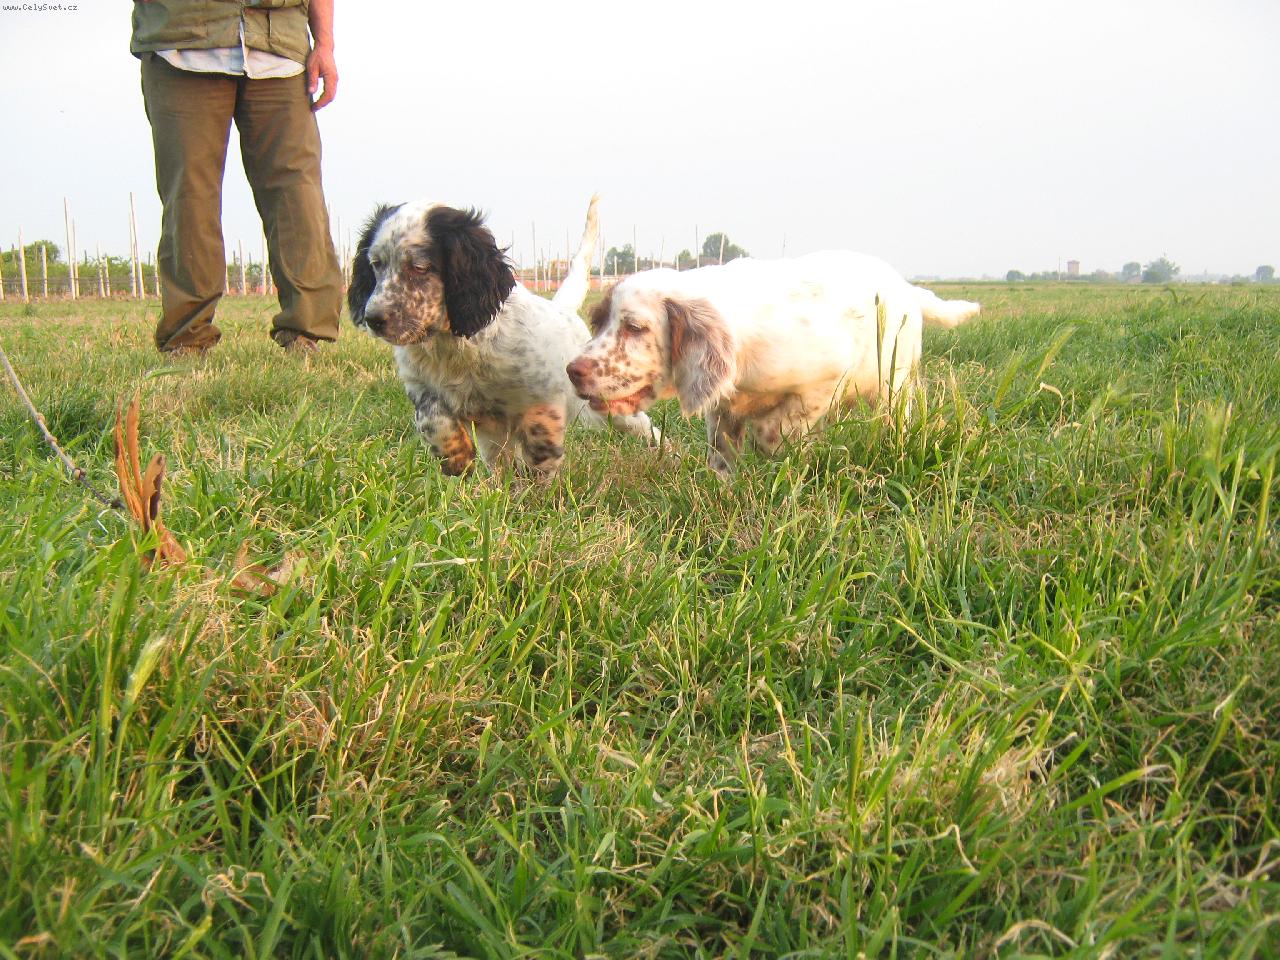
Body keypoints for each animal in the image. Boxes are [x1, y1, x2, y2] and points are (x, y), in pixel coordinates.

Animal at [347, 195, 658, 476]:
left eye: (419, 267)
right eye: (376, 264)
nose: (373, 319)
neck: (454, 341)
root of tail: (563, 309)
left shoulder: (542, 394)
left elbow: (540, 433)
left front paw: (537, 481)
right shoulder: (421, 385)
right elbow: (431, 418)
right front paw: (456, 457)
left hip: (603, 403)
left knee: (642, 425)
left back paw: (663, 447)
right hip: (495, 436)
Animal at [566, 251, 980, 475]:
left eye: (634, 327)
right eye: (600, 322)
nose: (572, 371)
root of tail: (907, 287)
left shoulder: (825, 377)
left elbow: (774, 429)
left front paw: (780, 450)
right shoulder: (722, 405)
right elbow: (721, 448)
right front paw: (722, 484)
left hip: (896, 378)